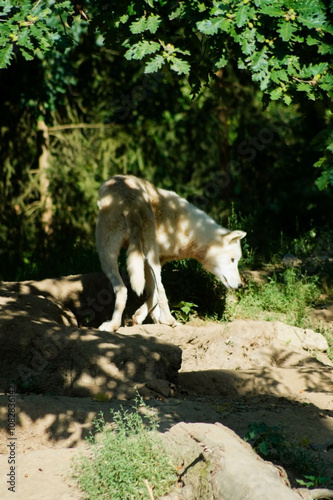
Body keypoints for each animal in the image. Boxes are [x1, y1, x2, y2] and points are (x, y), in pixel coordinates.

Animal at [94, 176, 245, 332]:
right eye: (233, 260)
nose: (241, 285)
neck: (188, 230)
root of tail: (131, 195)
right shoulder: (152, 261)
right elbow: (154, 292)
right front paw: (149, 318)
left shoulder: (155, 261)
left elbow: (153, 293)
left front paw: (146, 319)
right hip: (111, 251)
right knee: (137, 289)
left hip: (130, 253)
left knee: (127, 289)